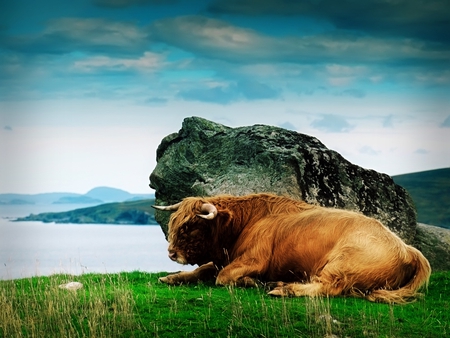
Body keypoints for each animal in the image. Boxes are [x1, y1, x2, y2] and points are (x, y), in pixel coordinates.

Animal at [153, 193, 430, 304]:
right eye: (175, 221)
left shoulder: (253, 260)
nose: (171, 253)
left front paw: (252, 282)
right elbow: (202, 270)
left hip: (342, 263)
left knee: (328, 287)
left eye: (191, 226)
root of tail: (407, 249)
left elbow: (222, 277)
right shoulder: (224, 259)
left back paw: (282, 289)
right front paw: (171, 277)